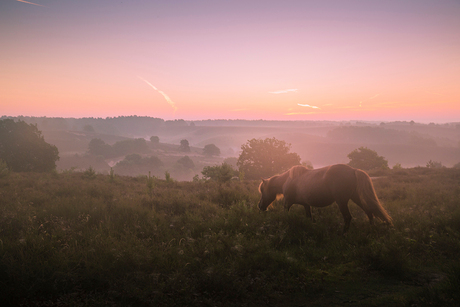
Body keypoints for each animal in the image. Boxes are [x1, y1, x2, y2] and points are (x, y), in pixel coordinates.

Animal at [258, 164, 392, 233]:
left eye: (262, 191)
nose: (260, 206)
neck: (287, 180)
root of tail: (353, 170)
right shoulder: (306, 205)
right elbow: (309, 217)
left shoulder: (287, 203)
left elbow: (285, 215)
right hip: (355, 198)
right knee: (369, 211)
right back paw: (371, 228)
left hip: (342, 201)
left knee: (348, 217)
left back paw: (343, 233)